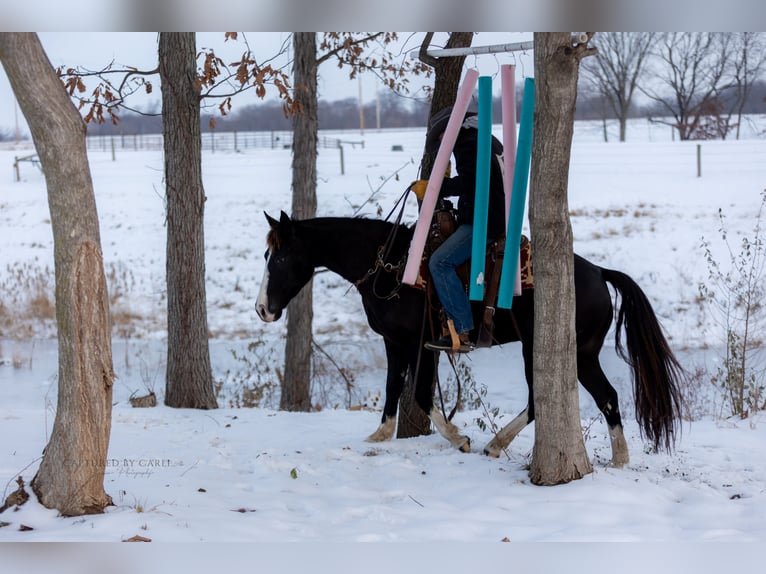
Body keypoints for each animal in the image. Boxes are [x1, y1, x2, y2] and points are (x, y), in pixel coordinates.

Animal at [256, 211, 684, 467]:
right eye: (266, 256)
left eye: (280, 258)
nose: (262, 309)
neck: (392, 269)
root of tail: (598, 272)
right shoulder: (395, 342)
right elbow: (395, 387)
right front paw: (379, 435)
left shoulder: (421, 344)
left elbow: (420, 394)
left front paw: (458, 439)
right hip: (580, 354)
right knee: (602, 397)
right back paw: (618, 459)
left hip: (553, 351)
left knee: (555, 400)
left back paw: (497, 445)